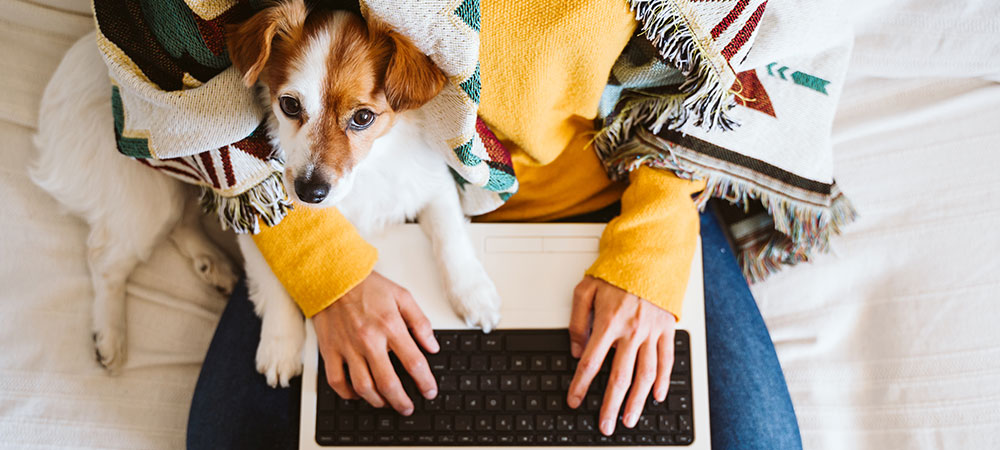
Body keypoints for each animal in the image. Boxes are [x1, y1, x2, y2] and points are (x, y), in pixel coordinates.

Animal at [31, 0, 500, 386]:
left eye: (364, 117)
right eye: (290, 105)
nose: (310, 191)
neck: (363, 178)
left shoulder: (431, 182)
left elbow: (450, 236)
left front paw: (473, 293)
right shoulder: (257, 207)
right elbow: (276, 280)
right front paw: (280, 344)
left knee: (179, 223)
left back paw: (211, 265)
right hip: (148, 198)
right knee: (106, 261)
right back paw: (109, 335)